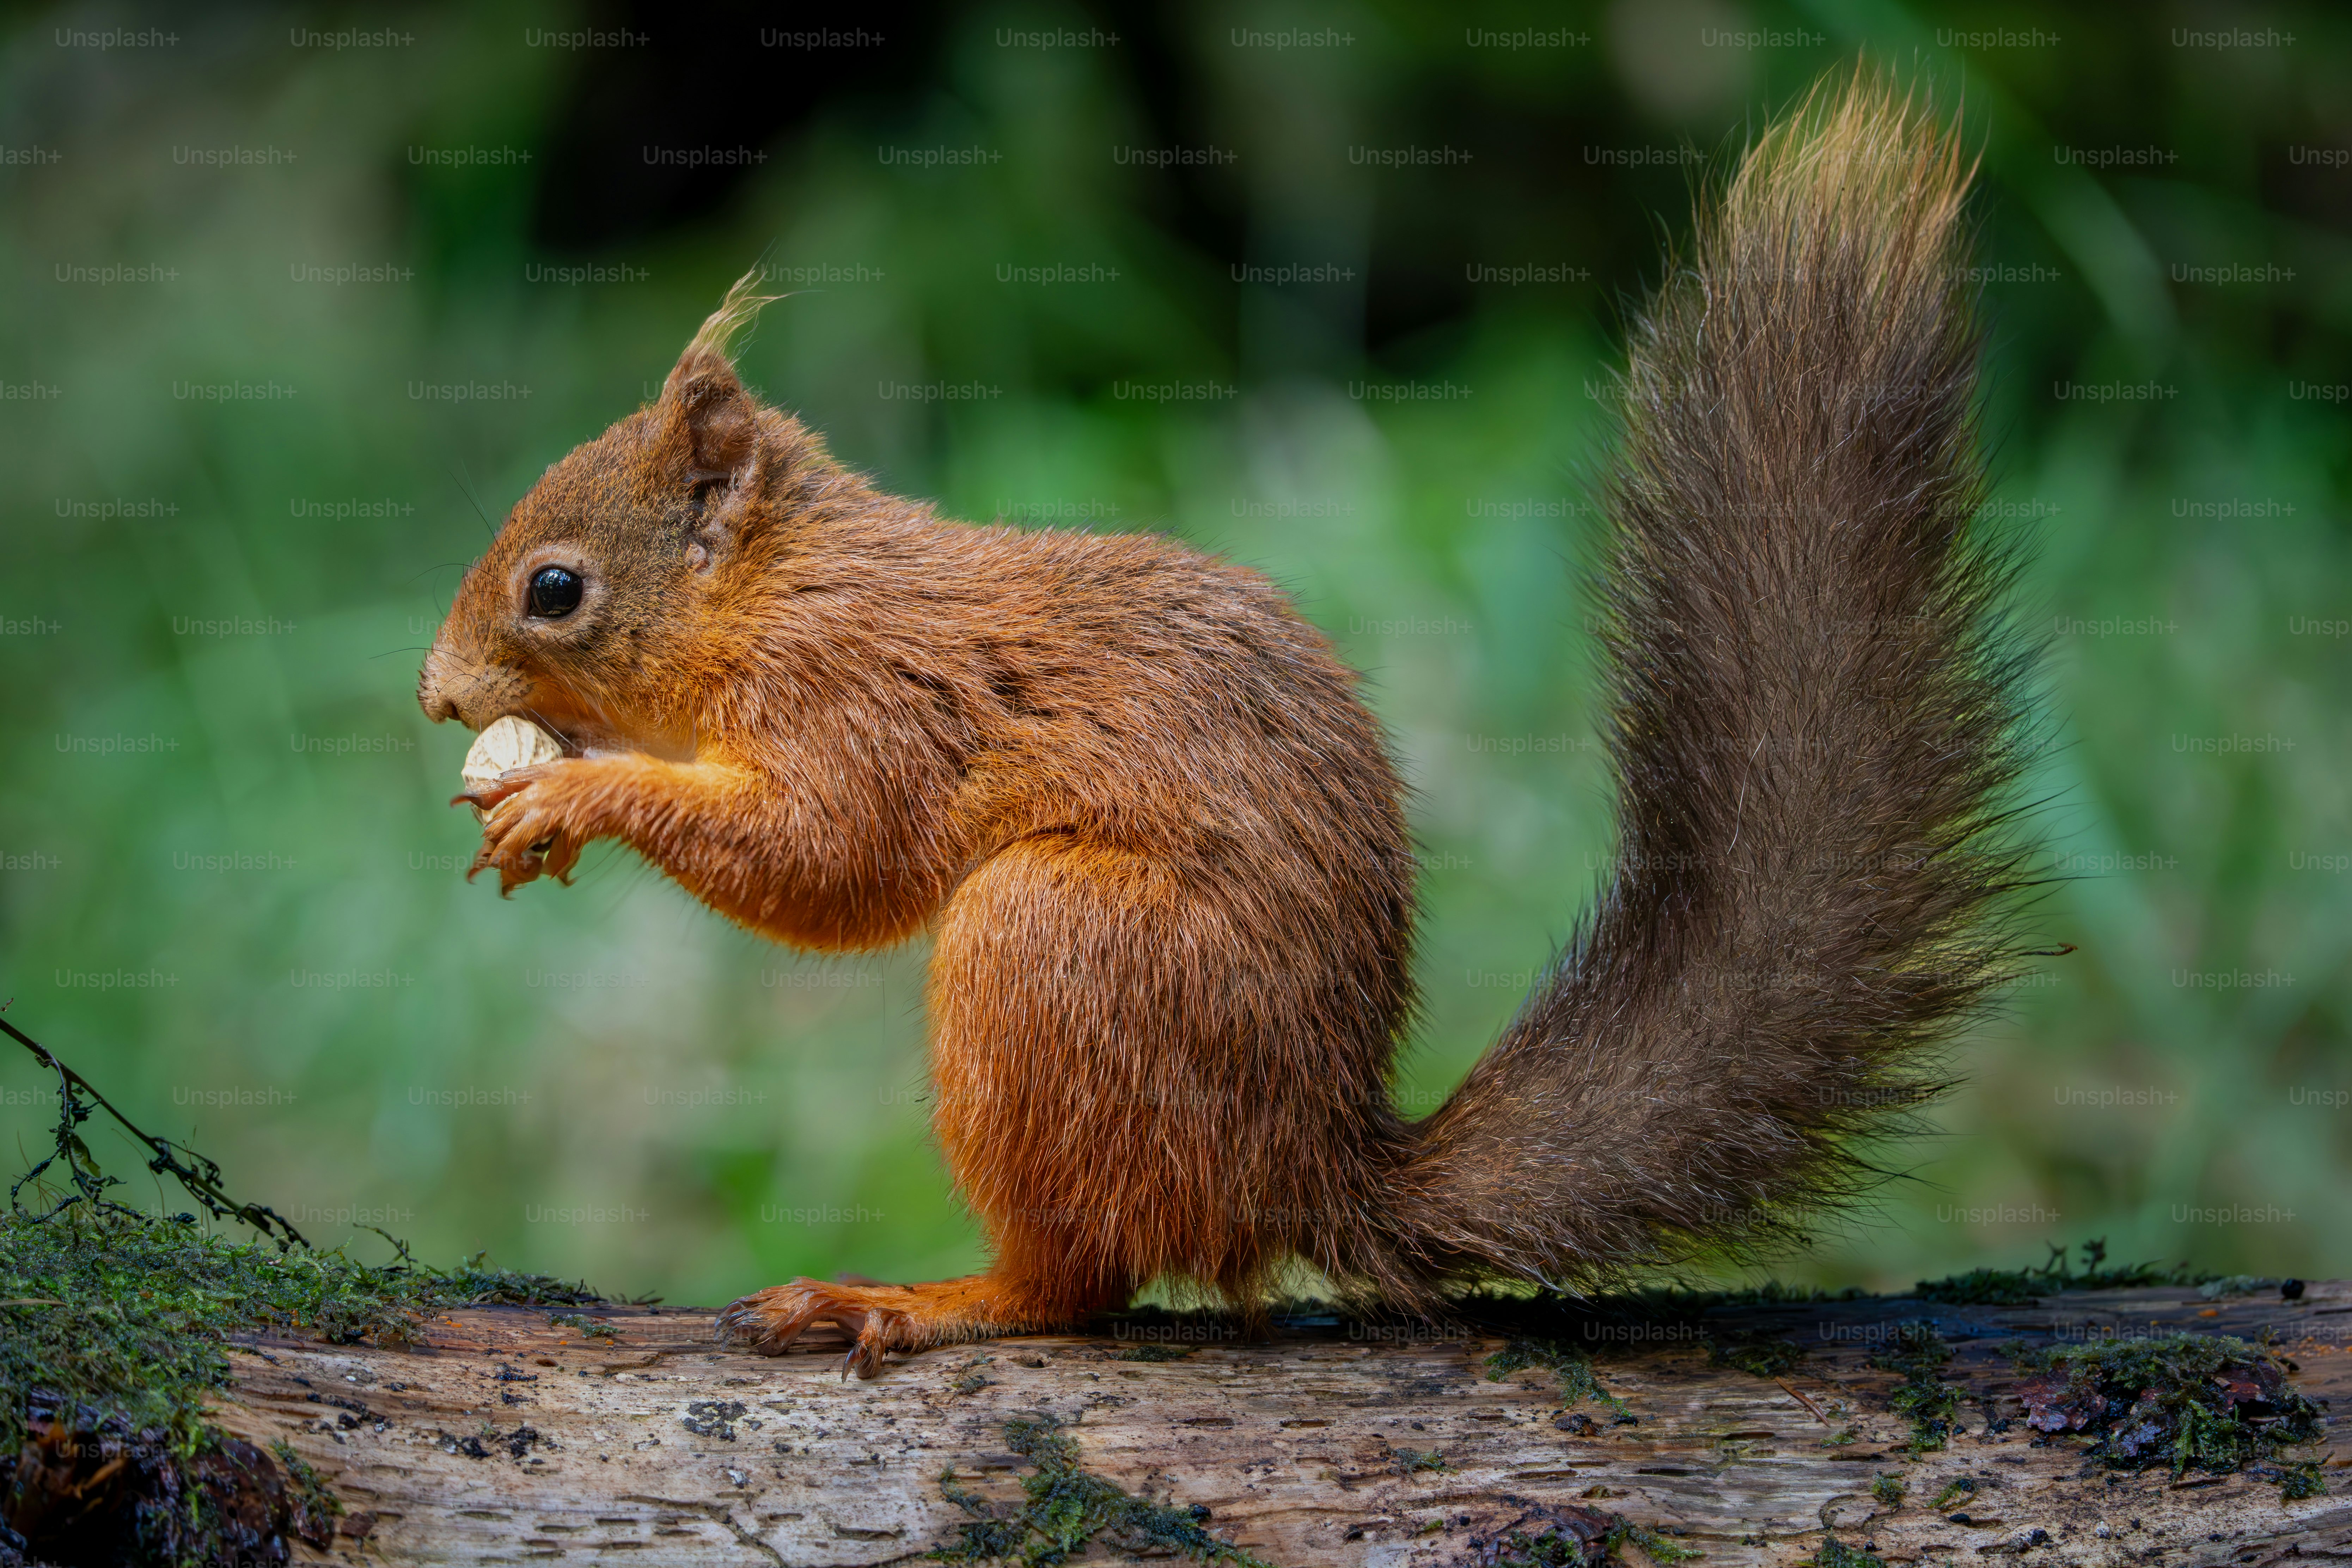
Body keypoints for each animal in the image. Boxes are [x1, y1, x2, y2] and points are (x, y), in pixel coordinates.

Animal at [419, 73, 2037, 1378]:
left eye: (555, 589)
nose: (434, 693)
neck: (773, 594)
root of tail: (1308, 1170)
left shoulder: (858, 696)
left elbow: (831, 860)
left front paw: (574, 793)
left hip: (1050, 950)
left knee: (1079, 1286)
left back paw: (913, 1298)